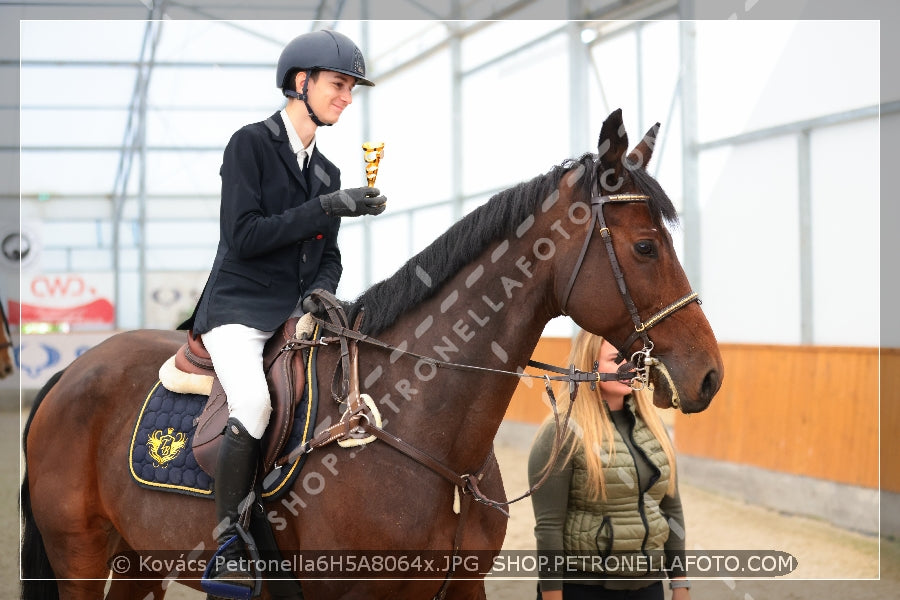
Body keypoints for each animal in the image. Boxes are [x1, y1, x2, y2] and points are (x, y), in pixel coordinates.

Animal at [19, 109, 724, 600]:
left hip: (138, 560)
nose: (710, 376)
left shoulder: (460, 587)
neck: (430, 438)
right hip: (82, 557)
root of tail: (71, 374)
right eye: (645, 247)